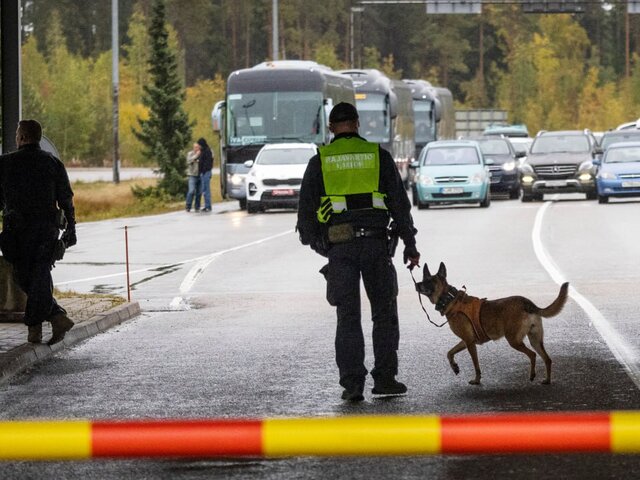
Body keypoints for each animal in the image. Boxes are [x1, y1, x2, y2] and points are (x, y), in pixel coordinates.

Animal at [416, 260, 568, 384]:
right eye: (423, 278)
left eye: (429, 281)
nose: (417, 284)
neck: (450, 299)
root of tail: (528, 303)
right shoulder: (466, 341)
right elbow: (449, 353)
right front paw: (454, 367)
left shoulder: (470, 343)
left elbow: (476, 365)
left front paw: (477, 380)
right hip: (535, 340)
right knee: (547, 359)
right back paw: (547, 380)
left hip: (514, 340)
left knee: (533, 355)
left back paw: (532, 375)